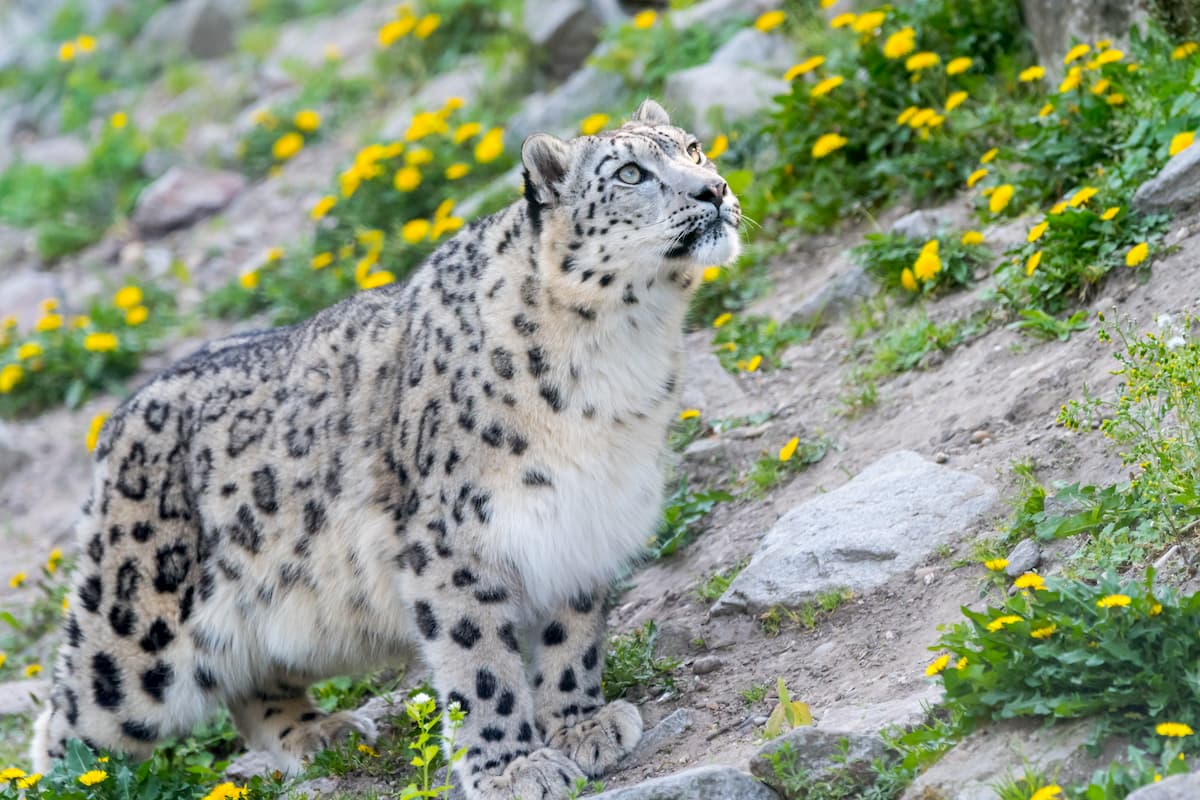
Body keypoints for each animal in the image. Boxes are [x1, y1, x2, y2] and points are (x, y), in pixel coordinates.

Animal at [31, 98, 741, 799]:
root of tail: (119, 419)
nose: (714, 189)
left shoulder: (582, 521)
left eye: (693, 148)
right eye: (629, 174)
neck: (621, 354)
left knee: (253, 684)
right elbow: (481, 666)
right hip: (135, 640)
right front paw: (511, 767)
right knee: (67, 720)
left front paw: (581, 725)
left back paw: (321, 733)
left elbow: (574, 638)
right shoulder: (456, 545)